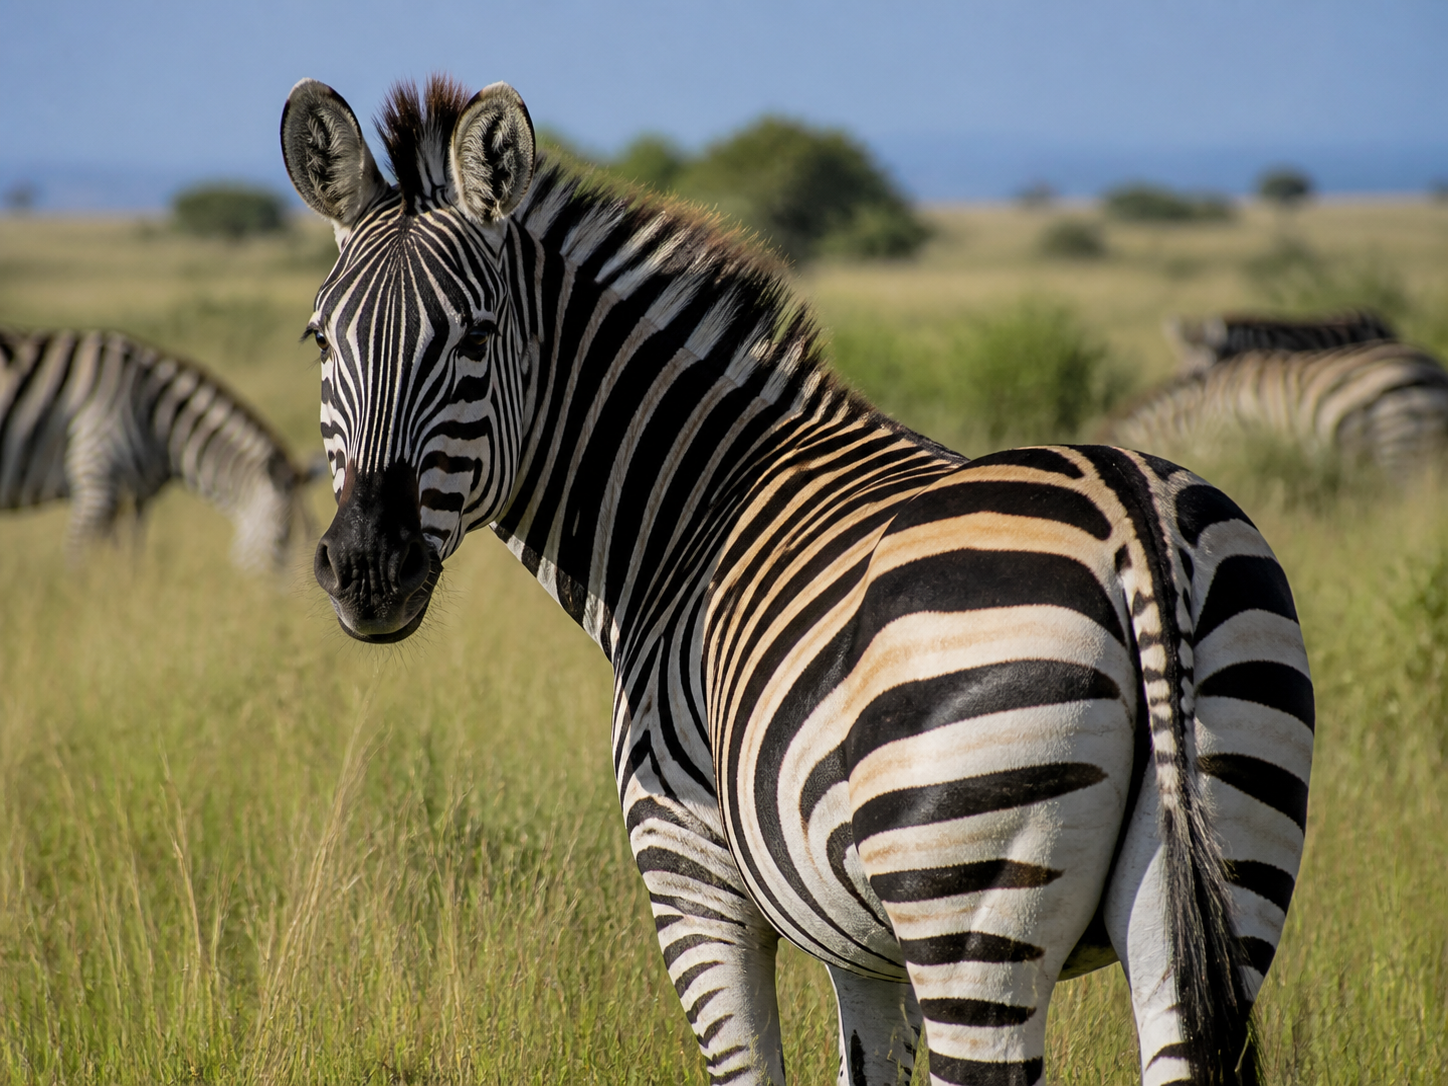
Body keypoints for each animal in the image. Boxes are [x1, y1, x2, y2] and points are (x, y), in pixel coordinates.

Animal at [1, 327, 316, 570]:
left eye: (310, 540)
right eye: (281, 539)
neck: (156, 420)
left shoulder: (131, 497)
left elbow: (128, 557)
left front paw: (119, 593)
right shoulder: (95, 479)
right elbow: (77, 556)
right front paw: (80, 601)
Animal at [282, 74, 1313, 1086]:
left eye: (474, 339)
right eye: (320, 342)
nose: (367, 569)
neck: (692, 507)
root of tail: (1134, 518)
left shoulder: (694, 874)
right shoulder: (860, 944)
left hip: (971, 907)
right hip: (1218, 879)